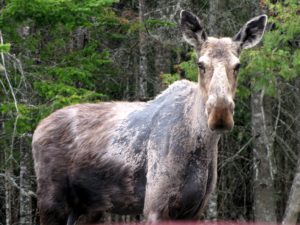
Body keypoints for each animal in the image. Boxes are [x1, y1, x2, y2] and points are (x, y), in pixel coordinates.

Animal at [32, 10, 268, 225]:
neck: (200, 145)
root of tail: (37, 129)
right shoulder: (155, 206)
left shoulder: (195, 210)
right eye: (200, 64)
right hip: (51, 201)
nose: (220, 113)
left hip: (87, 207)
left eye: (237, 65)